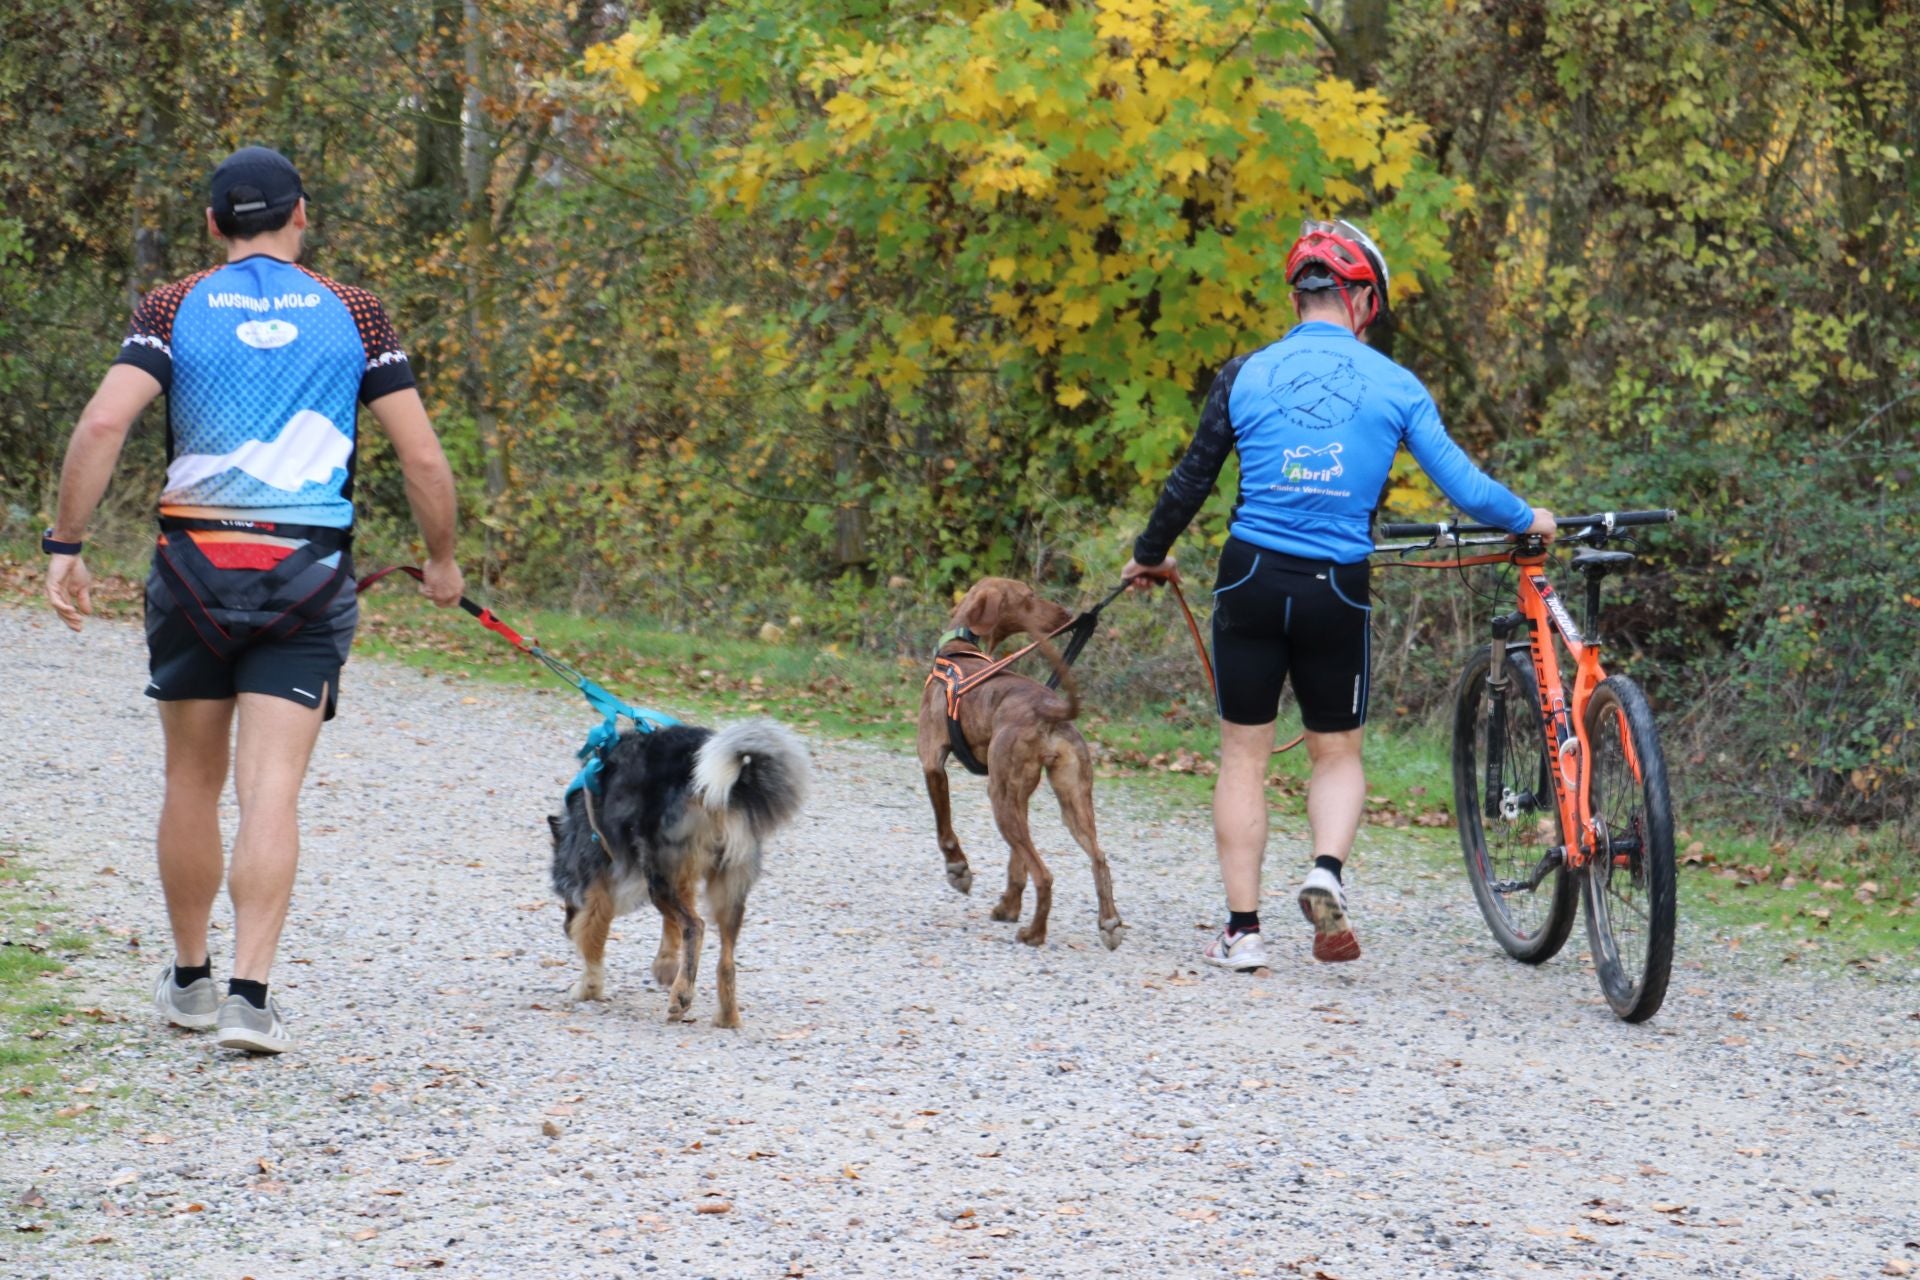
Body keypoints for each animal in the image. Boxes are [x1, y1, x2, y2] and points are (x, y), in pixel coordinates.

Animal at [549, 721, 810, 1028]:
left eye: (565, 899)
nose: (565, 929)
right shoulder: (681, 878)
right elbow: (671, 926)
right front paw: (666, 964)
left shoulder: (599, 884)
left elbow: (592, 936)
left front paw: (588, 987)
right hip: (723, 886)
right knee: (725, 957)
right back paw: (726, 1015)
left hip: (660, 879)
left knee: (695, 926)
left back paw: (681, 996)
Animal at [917, 579, 1121, 951]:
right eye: (1028, 596)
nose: (1066, 613)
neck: (959, 648)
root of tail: (1051, 712)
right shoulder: (1022, 795)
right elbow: (1017, 863)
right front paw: (1009, 906)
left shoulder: (932, 763)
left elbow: (945, 830)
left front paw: (958, 869)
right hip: (1071, 800)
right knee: (1098, 858)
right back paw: (1109, 923)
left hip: (999, 798)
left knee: (1045, 874)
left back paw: (1035, 934)